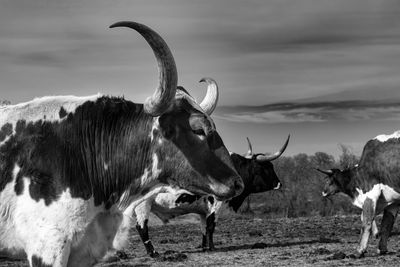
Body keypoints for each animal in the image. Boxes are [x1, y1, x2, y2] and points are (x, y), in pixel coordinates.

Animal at [111, 127, 290, 260]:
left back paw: (121, 254)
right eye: (266, 167)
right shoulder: (216, 205)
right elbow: (211, 226)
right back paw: (153, 252)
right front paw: (212, 248)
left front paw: (205, 247)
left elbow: (204, 228)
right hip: (143, 205)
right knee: (141, 227)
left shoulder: (203, 210)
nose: (279, 183)